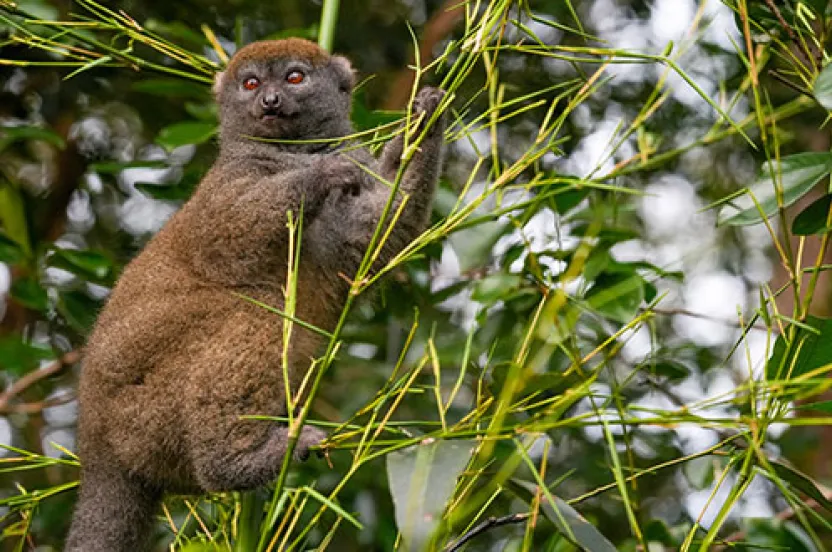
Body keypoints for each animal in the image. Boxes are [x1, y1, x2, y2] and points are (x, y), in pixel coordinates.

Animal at [64, 38, 446, 552]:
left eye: (294, 77)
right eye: (250, 83)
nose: (269, 101)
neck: (288, 153)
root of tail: (95, 444)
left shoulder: (358, 187)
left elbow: (379, 232)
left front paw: (426, 122)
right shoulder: (225, 186)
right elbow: (225, 238)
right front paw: (318, 175)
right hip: (141, 413)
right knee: (256, 311)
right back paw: (237, 463)